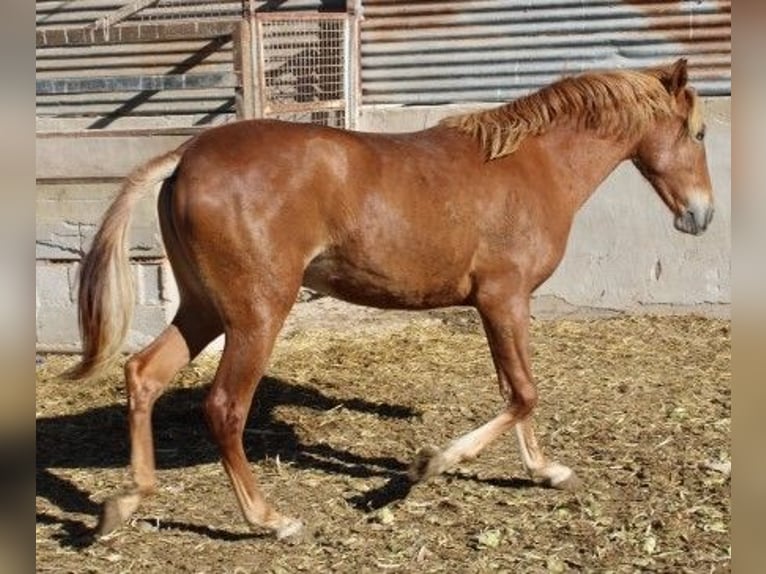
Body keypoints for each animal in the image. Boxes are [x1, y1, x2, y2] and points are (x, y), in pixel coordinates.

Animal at [67, 60, 712, 544]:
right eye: (700, 133)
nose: (700, 216)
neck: (530, 167)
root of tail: (185, 157)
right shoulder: (503, 298)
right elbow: (524, 392)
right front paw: (429, 465)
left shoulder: (504, 304)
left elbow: (517, 390)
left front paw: (545, 470)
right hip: (256, 314)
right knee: (224, 407)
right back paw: (271, 520)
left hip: (202, 309)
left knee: (144, 374)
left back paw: (125, 503)